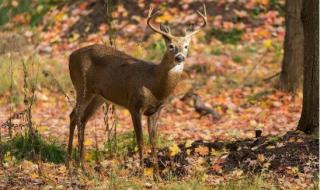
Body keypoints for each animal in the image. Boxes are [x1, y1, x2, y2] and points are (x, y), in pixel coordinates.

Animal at [67, 4, 208, 180]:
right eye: (170, 46)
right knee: (74, 115)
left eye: (186, 46)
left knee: (83, 118)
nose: (180, 57)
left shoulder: (156, 110)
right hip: (82, 86)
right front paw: (141, 174)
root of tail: (70, 56)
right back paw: (71, 164)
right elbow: (140, 140)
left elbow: (153, 142)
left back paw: (81, 166)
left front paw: (157, 176)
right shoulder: (134, 105)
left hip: (99, 96)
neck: (154, 85)